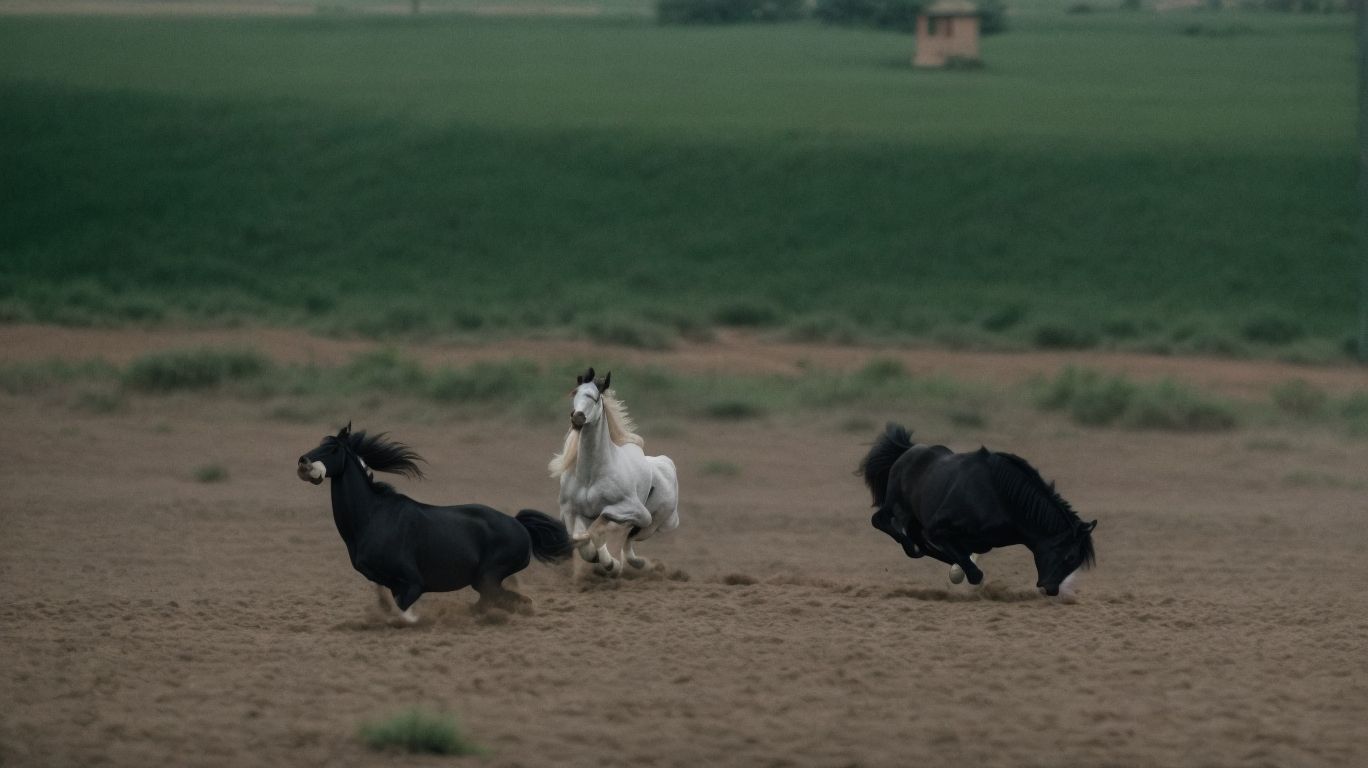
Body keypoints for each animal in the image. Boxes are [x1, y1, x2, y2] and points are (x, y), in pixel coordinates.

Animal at [297, 423, 574, 623]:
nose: (303, 462)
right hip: (485, 579)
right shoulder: (388, 583)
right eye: (319, 444)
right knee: (502, 601)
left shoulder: (412, 583)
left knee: (501, 600)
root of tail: (520, 525)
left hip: (487, 576)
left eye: (332, 449)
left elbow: (403, 612)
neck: (373, 516)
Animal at [549, 367, 680, 577]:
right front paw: (599, 558)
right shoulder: (569, 511)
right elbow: (581, 540)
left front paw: (611, 563)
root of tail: (666, 463)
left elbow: (600, 523)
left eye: (595, 398)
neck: (590, 477)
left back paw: (640, 564)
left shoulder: (636, 511)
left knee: (629, 540)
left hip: (656, 524)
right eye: (574, 393)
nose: (577, 418)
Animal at [857, 423, 1096, 597]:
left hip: (915, 518)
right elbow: (973, 572)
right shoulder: (937, 528)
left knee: (919, 543)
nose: (1051, 589)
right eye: (1069, 557)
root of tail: (907, 451)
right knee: (882, 522)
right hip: (895, 505)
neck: (1001, 501)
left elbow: (962, 557)